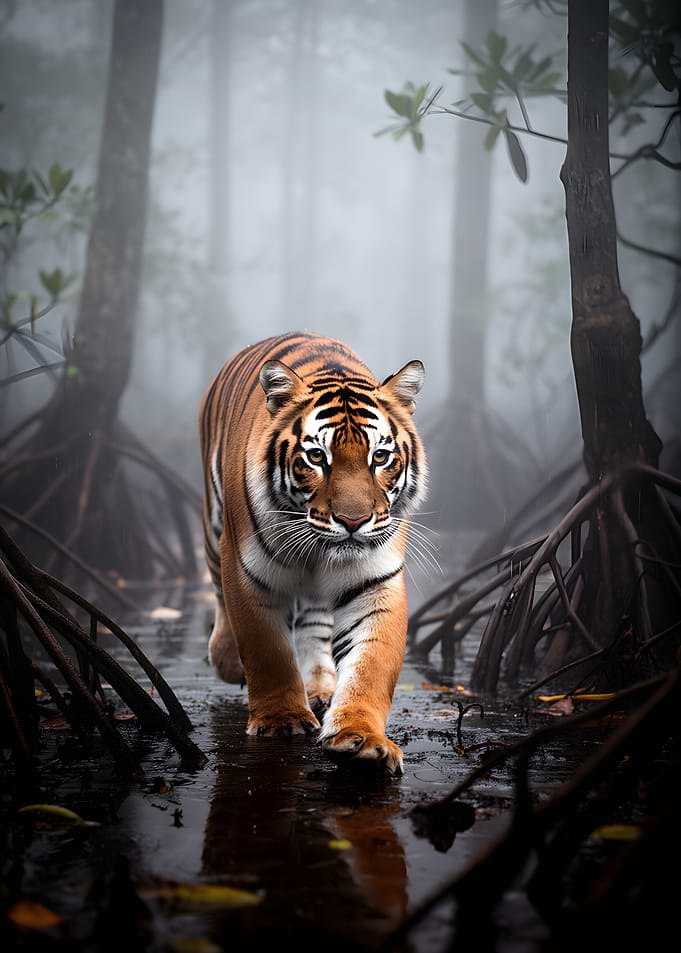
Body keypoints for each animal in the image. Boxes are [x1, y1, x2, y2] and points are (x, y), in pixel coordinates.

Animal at [199, 331, 427, 773]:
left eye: (380, 456)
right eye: (317, 457)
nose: (354, 520)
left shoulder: (375, 583)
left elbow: (371, 666)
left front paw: (361, 739)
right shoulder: (247, 572)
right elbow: (267, 650)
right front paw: (282, 720)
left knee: (314, 624)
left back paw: (321, 687)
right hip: (213, 525)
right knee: (217, 593)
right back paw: (228, 660)